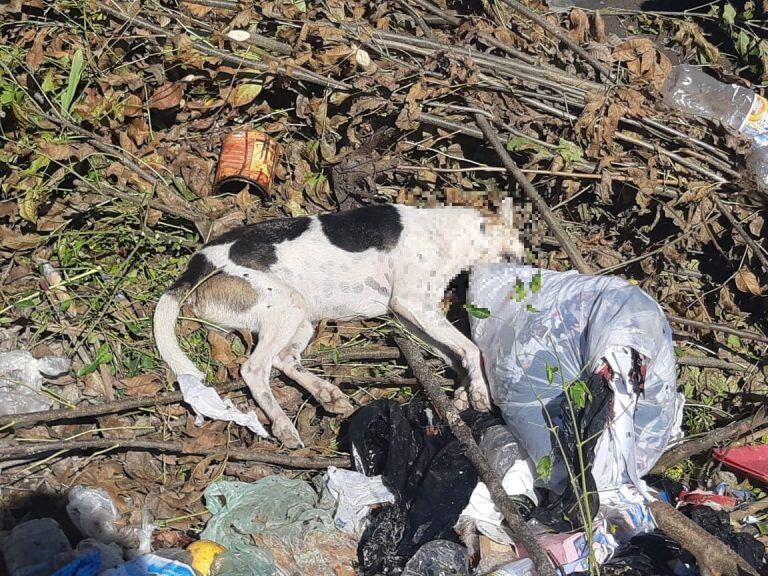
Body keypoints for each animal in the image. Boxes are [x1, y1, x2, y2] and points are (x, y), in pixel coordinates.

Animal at [153, 200, 524, 448]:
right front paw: (479, 393)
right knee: (254, 370)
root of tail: (196, 265)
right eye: (513, 255)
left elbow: (455, 355)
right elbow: (471, 349)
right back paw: (283, 425)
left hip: (301, 318)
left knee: (283, 360)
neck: (443, 234)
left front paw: (464, 393)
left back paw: (327, 394)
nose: (523, 272)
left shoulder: (413, 317)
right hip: (287, 305)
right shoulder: (412, 305)